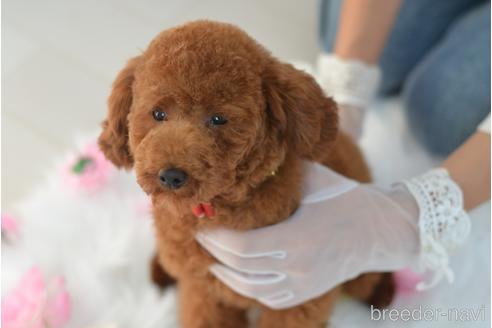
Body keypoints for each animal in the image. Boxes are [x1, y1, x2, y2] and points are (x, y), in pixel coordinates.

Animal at [98, 19, 394, 326]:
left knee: (370, 273)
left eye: (218, 119)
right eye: (157, 114)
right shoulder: (203, 288)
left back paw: (383, 293)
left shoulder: (300, 295)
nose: (171, 175)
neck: (218, 208)